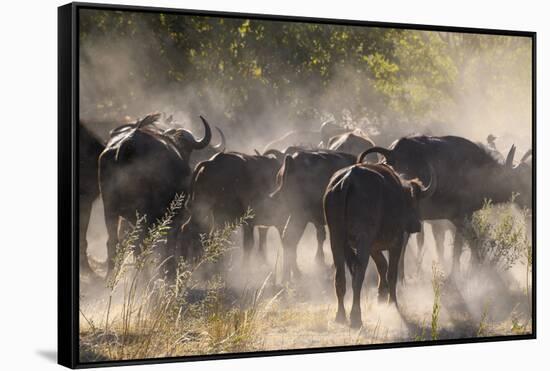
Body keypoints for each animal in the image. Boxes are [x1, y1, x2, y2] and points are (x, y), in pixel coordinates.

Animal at [98, 115, 212, 278]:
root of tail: (128, 144)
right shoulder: (175, 217)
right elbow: (168, 244)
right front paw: (169, 272)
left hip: (110, 208)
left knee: (114, 242)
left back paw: (111, 277)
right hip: (144, 212)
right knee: (141, 244)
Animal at [270, 151, 358, 282]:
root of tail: (292, 162)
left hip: (296, 215)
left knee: (287, 238)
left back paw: (290, 276)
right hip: (300, 216)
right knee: (291, 239)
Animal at [324, 163, 436, 328]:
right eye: (413, 201)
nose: (417, 225)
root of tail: (349, 178)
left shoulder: (373, 246)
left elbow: (382, 265)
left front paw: (381, 295)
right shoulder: (396, 243)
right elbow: (392, 273)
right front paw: (392, 303)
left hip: (336, 238)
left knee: (340, 278)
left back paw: (340, 316)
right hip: (362, 240)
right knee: (358, 277)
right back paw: (356, 317)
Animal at [358, 135, 536, 274]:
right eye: (521, 180)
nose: (529, 203)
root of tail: (392, 153)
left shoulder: (461, 217)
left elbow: (464, 244)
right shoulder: (461, 216)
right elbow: (464, 245)